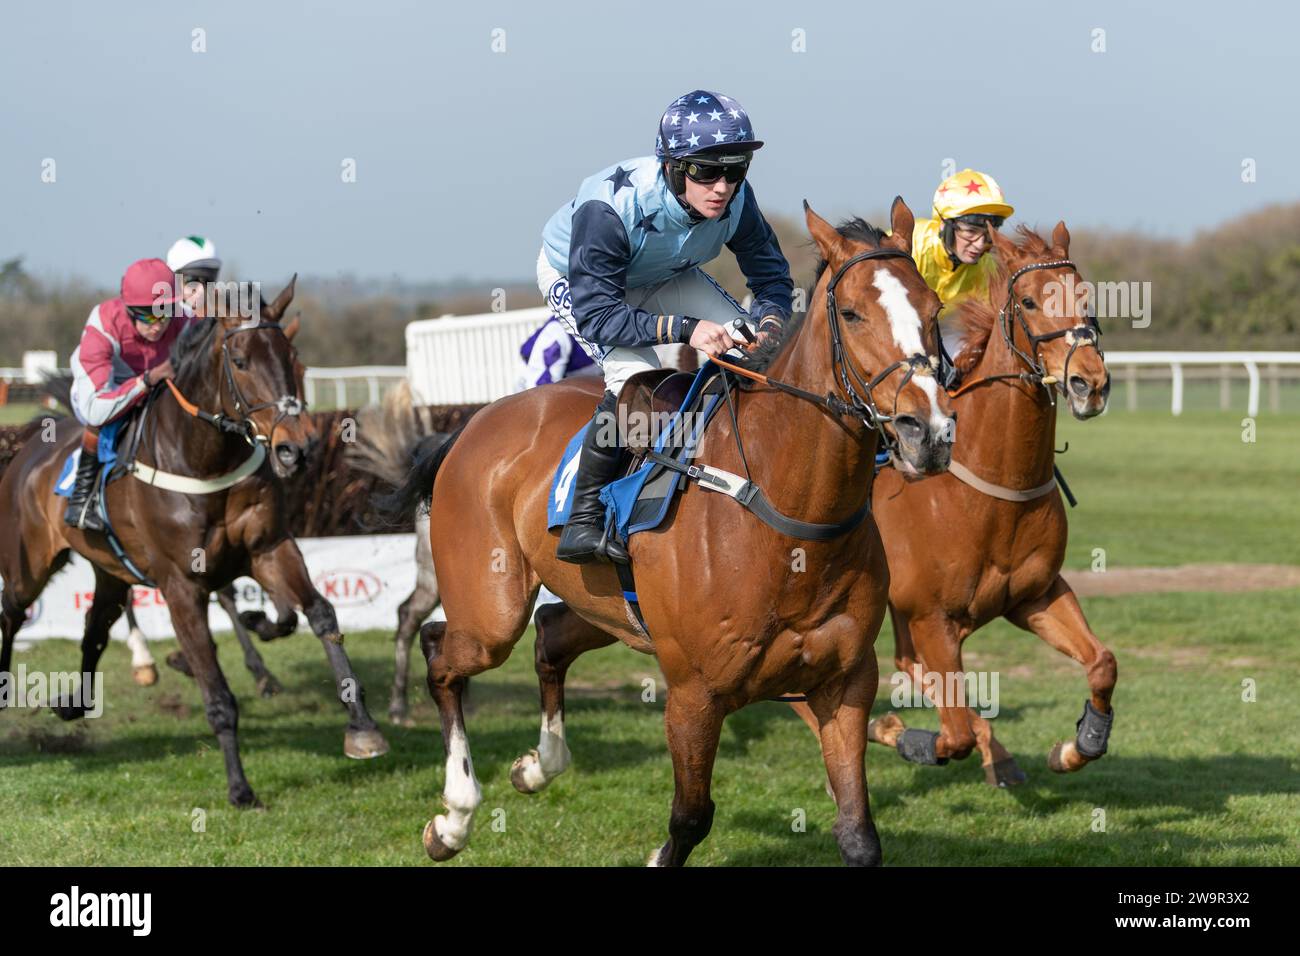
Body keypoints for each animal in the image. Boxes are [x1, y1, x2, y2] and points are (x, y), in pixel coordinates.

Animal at [0, 282, 384, 806]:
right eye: (240, 361)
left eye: (294, 358)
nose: (297, 449)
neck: (205, 459)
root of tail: (27, 446)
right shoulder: (181, 585)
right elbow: (218, 693)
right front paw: (240, 789)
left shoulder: (270, 548)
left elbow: (320, 613)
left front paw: (362, 726)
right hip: (29, 564)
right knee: (12, 612)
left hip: (110, 570)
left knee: (95, 628)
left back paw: (77, 702)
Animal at [384, 201, 956, 868]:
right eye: (852, 312)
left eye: (934, 310)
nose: (928, 432)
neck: (787, 520)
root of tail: (471, 423)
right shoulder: (694, 692)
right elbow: (689, 818)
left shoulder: (844, 682)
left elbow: (860, 834)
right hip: (490, 612)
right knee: (441, 653)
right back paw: (454, 818)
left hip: (604, 605)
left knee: (548, 636)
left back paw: (537, 767)